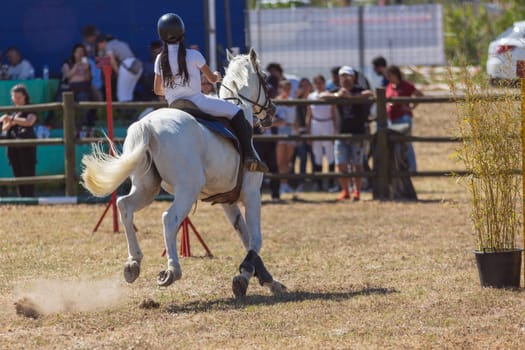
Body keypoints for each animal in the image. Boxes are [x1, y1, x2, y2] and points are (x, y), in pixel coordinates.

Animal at [82, 47, 286, 296]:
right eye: (265, 79)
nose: (273, 111)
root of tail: (147, 125)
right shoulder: (251, 193)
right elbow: (256, 240)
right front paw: (245, 275)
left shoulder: (228, 202)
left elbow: (245, 237)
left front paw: (266, 280)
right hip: (187, 190)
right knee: (169, 219)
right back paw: (171, 271)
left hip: (147, 187)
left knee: (124, 206)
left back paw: (133, 263)